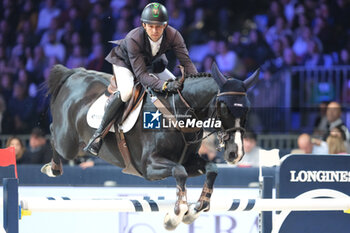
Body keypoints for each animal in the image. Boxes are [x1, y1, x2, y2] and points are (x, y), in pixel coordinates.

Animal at [42, 63, 258, 229]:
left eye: (248, 109)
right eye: (224, 107)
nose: (235, 153)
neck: (178, 113)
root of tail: (74, 74)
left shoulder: (188, 161)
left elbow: (211, 169)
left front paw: (197, 208)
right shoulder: (149, 167)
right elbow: (179, 173)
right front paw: (176, 215)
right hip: (68, 143)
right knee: (53, 134)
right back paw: (52, 168)